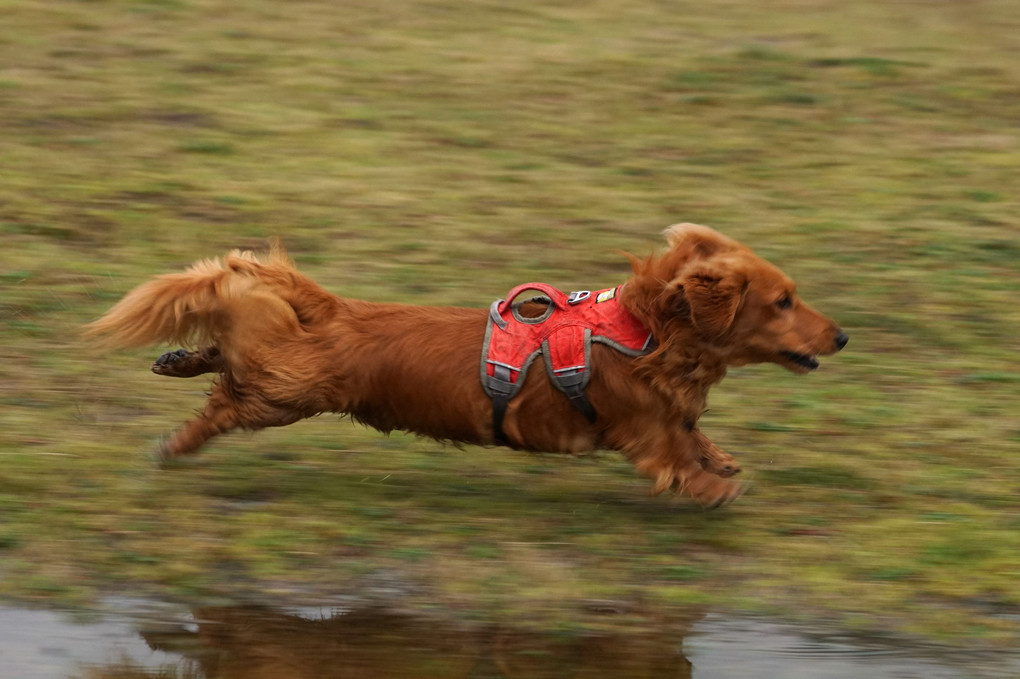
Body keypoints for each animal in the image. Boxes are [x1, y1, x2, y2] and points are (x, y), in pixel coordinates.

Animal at [85, 224, 844, 505]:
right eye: (784, 300)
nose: (841, 336)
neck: (652, 328)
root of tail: (334, 308)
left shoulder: (672, 413)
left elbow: (698, 435)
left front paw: (723, 463)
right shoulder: (644, 430)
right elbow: (680, 456)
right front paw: (717, 487)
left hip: (283, 372)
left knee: (227, 346)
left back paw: (177, 358)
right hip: (288, 389)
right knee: (227, 395)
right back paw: (177, 440)